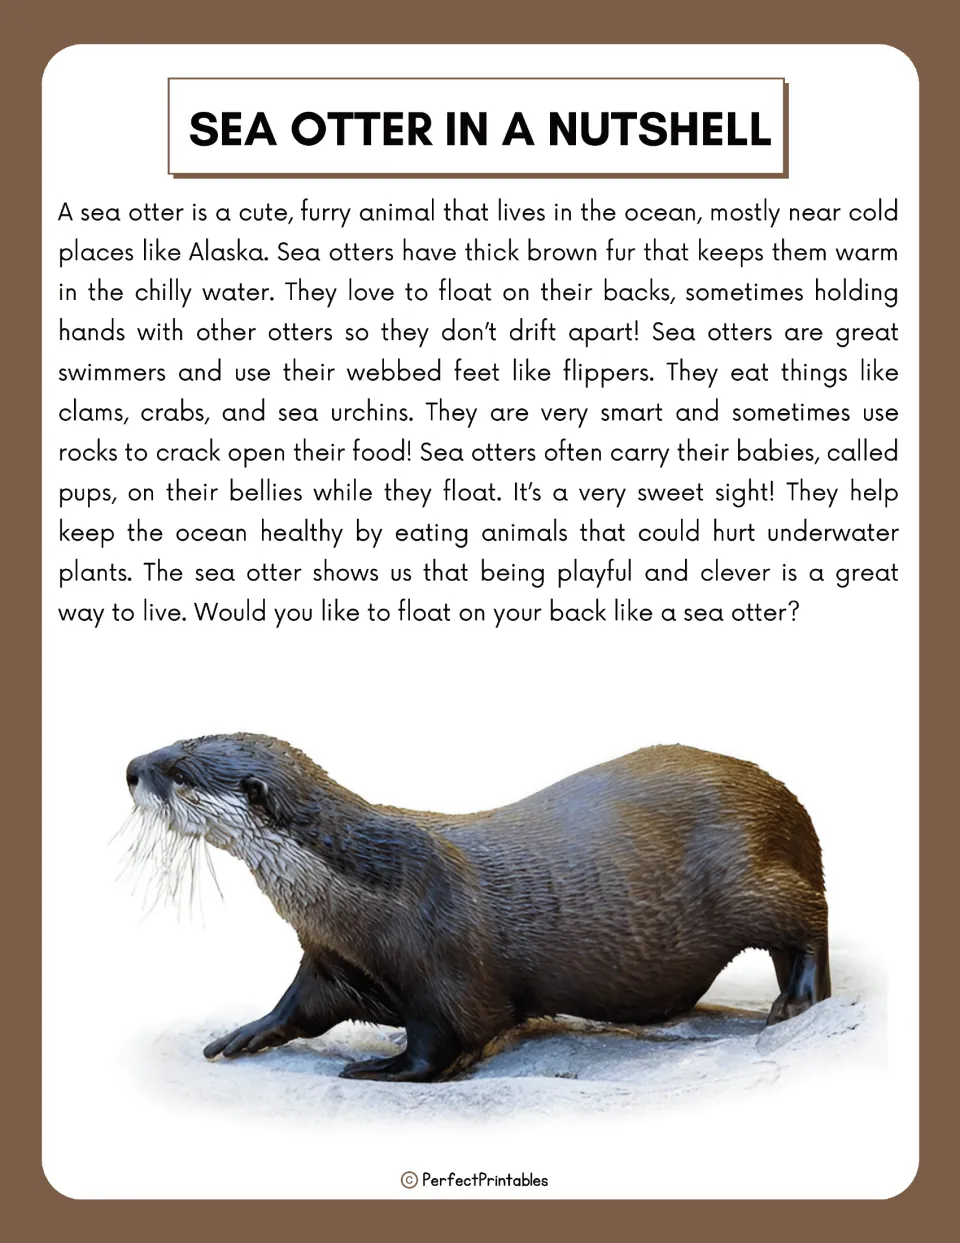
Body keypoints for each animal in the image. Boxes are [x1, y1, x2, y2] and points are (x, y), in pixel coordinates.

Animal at [123, 734, 831, 1082]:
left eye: (178, 770)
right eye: (174, 741)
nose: (131, 767)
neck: (363, 891)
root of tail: (784, 800)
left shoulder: (445, 957)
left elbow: (447, 1036)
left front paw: (383, 1067)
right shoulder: (333, 960)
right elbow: (302, 1005)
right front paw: (246, 1033)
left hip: (742, 878)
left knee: (810, 913)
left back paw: (797, 1001)